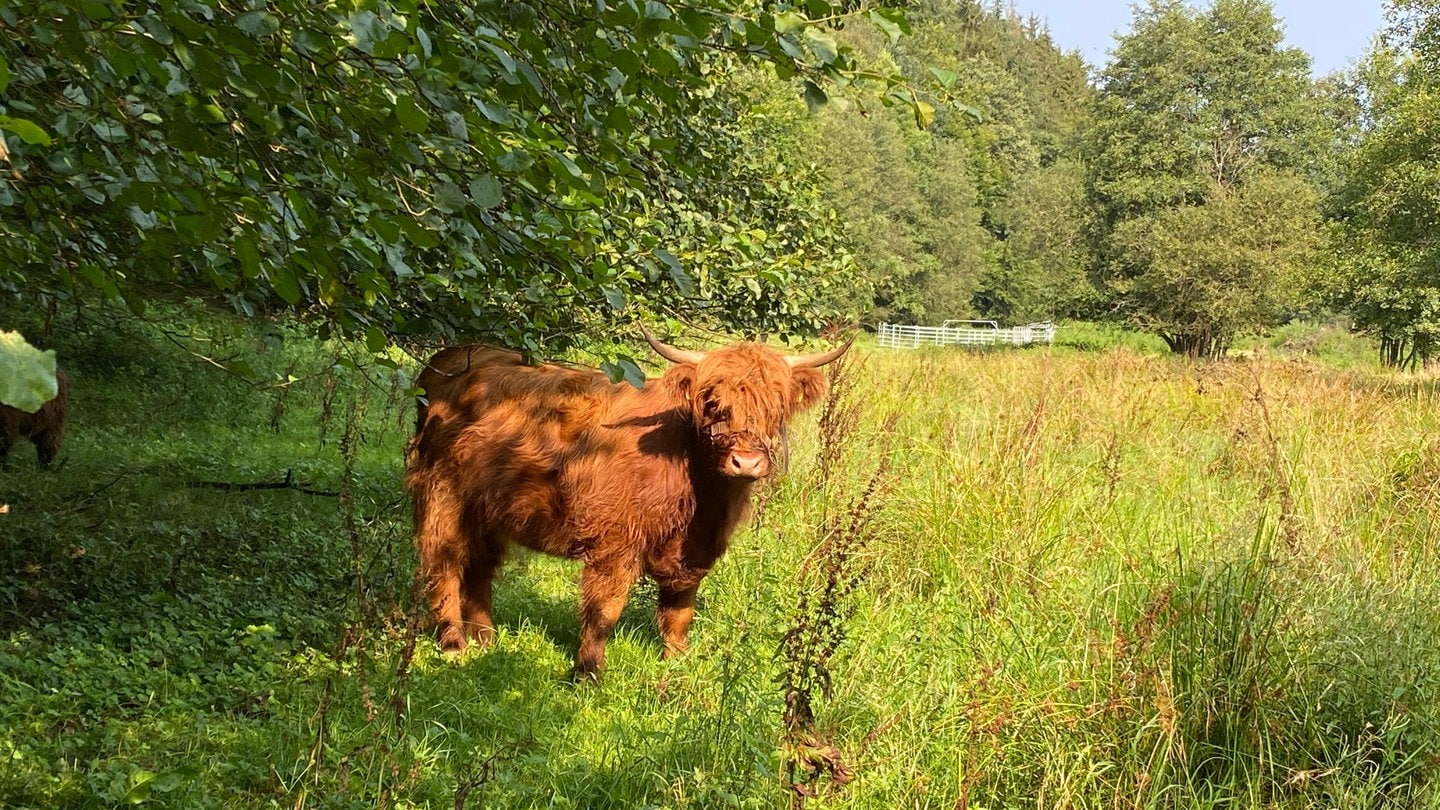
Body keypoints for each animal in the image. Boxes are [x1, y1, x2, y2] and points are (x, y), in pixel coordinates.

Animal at [406, 328, 846, 674]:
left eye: (777, 407)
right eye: (712, 404)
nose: (747, 462)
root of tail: (448, 360)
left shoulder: (694, 553)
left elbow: (679, 613)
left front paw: (676, 666)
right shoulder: (615, 543)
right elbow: (605, 611)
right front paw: (587, 673)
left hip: (488, 509)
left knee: (480, 568)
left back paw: (487, 640)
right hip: (443, 496)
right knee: (445, 562)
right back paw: (454, 644)